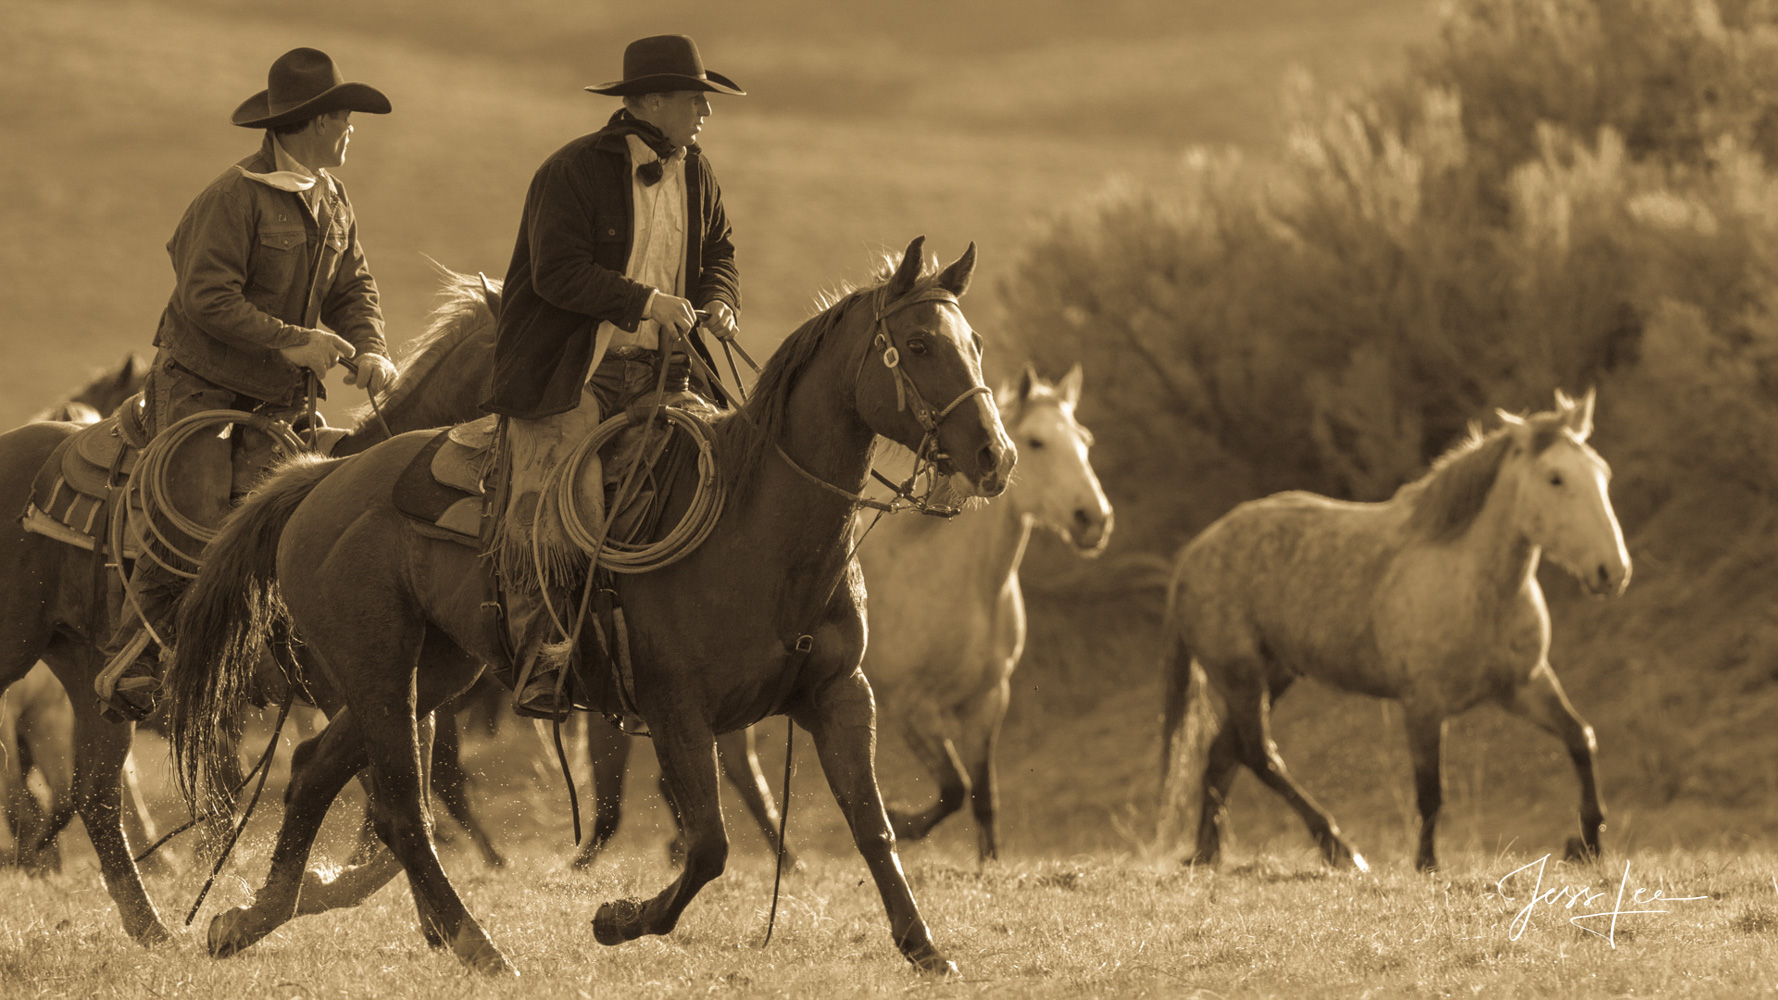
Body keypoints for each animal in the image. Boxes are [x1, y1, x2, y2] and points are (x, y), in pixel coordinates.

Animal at [173, 236, 1024, 967]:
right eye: (920, 347)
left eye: (976, 344)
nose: (996, 455)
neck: (759, 527)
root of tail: (320, 478)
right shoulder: (677, 709)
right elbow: (710, 844)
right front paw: (620, 920)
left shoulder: (842, 694)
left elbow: (871, 826)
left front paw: (923, 947)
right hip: (379, 671)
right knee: (402, 811)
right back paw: (476, 945)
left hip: (433, 672)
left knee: (316, 770)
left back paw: (256, 914)